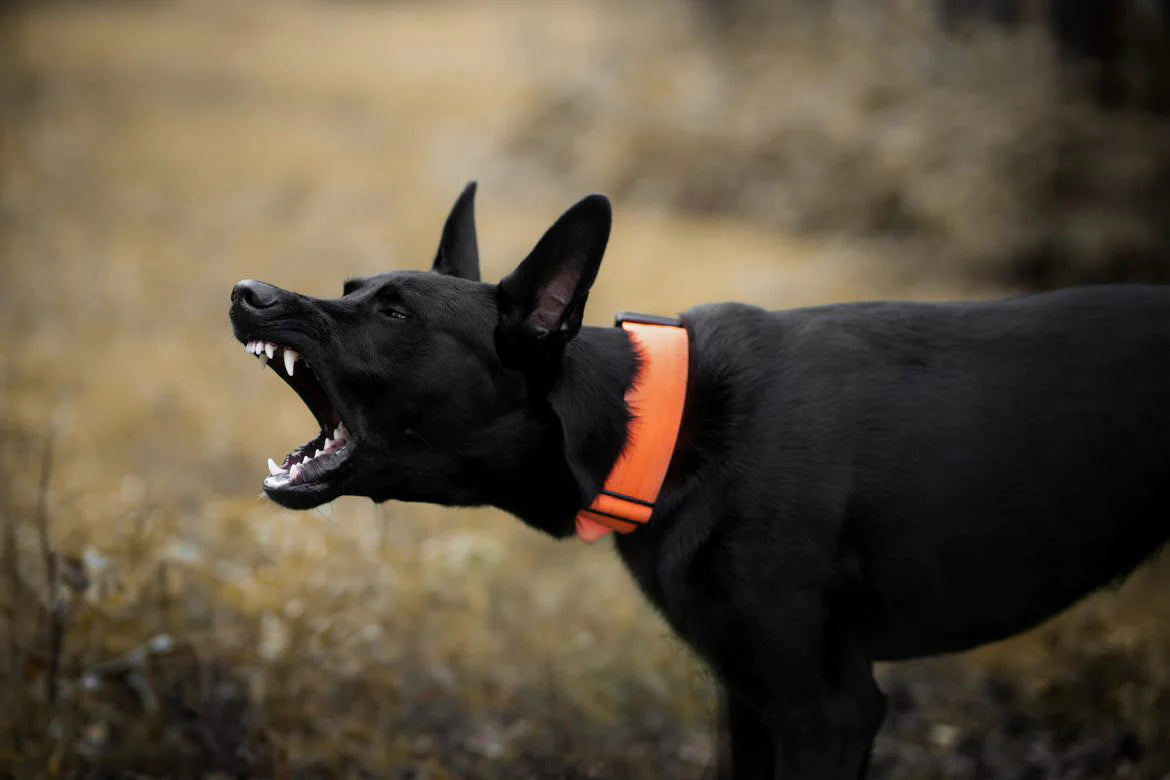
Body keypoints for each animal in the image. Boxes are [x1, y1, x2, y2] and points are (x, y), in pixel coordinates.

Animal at [225, 184, 1170, 780]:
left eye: (394, 314)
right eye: (351, 286)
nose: (246, 293)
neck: (660, 434)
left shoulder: (826, 708)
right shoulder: (750, 696)